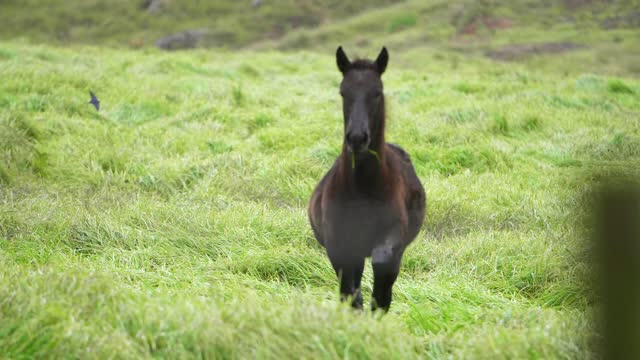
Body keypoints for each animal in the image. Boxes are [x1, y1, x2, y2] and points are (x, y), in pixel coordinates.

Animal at [308, 47, 424, 312]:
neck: (363, 188)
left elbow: (382, 268)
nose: (357, 138)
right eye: (343, 92)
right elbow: (349, 291)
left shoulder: (393, 237)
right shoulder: (339, 245)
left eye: (377, 92)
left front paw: (378, 306)